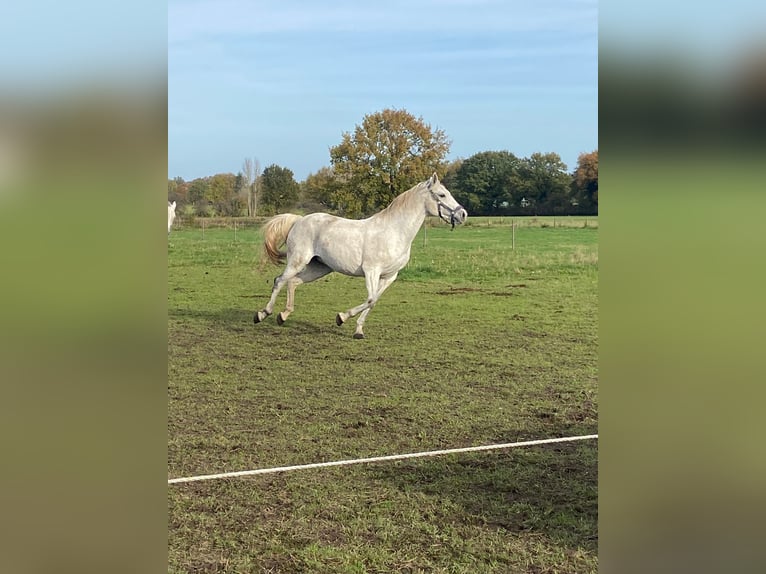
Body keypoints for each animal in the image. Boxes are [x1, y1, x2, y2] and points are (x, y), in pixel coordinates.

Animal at [255, 173, 468, 340]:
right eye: (442, 194)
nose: (463, 214)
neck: (394, 232)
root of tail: (299, 220)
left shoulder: (389, 276)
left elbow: (374, 302)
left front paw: (358, 331)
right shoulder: (371, 271)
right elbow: (370, 299)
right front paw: (341, 317)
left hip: (319, 267)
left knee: (292, 282)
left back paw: (283, 316)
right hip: (298, 261)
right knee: (279, 280)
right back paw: (262, 314)